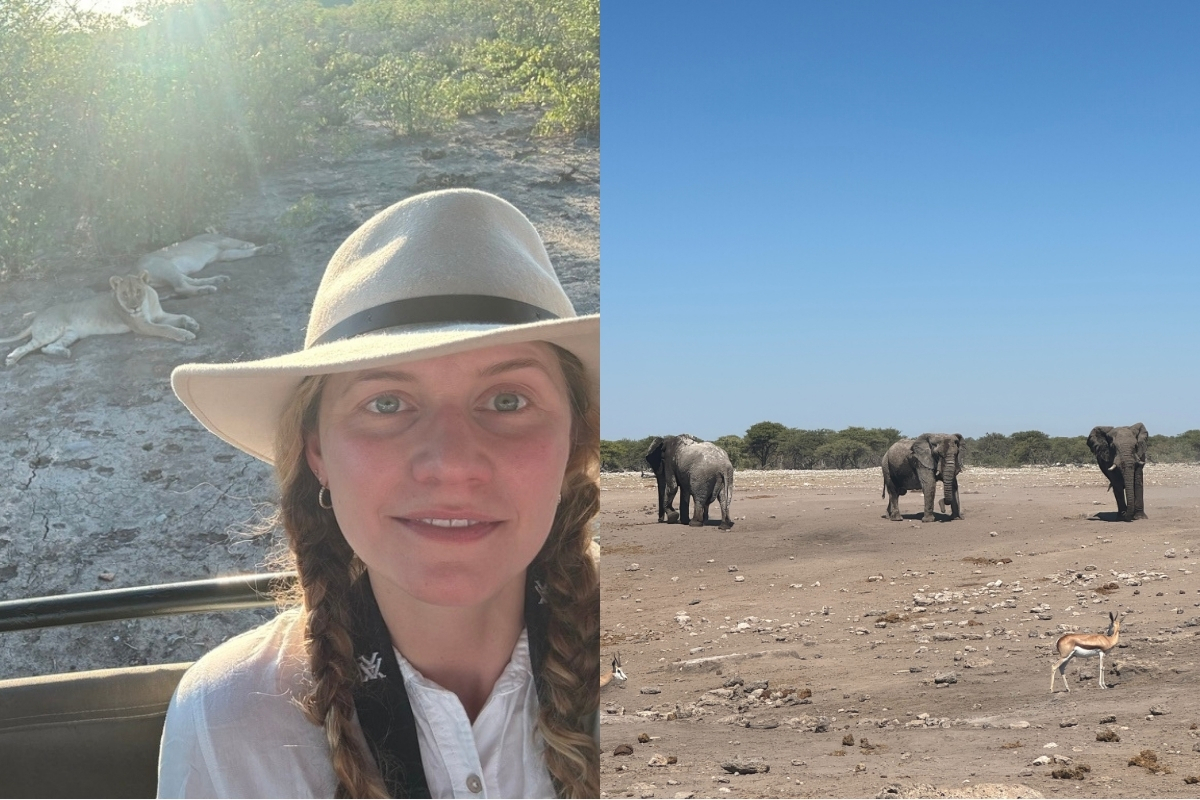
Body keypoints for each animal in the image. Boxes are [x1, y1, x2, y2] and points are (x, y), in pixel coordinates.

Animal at [1, 272, 196, 367]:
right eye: (124, 294)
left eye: (138, 291)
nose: (134, 307)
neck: (146, 303)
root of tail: (37, 316)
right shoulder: (142, 325)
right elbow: (166, 329)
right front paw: (186, 334)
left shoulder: (159, 316)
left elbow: (180, 317)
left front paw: (191, 324)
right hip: (49, 331)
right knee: (26, 347)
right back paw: (11, 359)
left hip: (70, 335)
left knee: (48, 348)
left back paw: (64, 353)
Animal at [137, 231, 277, 297]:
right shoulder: (219, 241)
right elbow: (238, 243)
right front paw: (249, 244)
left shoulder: (223, 254)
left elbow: (245, 253)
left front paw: (269, 249)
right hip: (165, 267)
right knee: (181, 287)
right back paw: (206, 289)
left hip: (173, 270)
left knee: (190, 281)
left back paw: (217, 280)